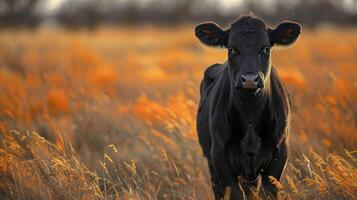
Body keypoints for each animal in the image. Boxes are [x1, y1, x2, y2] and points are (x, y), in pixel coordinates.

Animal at [195, 16, 300, 199]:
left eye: (266, 48)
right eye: (232, 48)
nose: (250, 80)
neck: (250, 115)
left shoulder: (280, 152)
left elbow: (269, 192)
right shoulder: (219, 154)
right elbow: (235, 193)